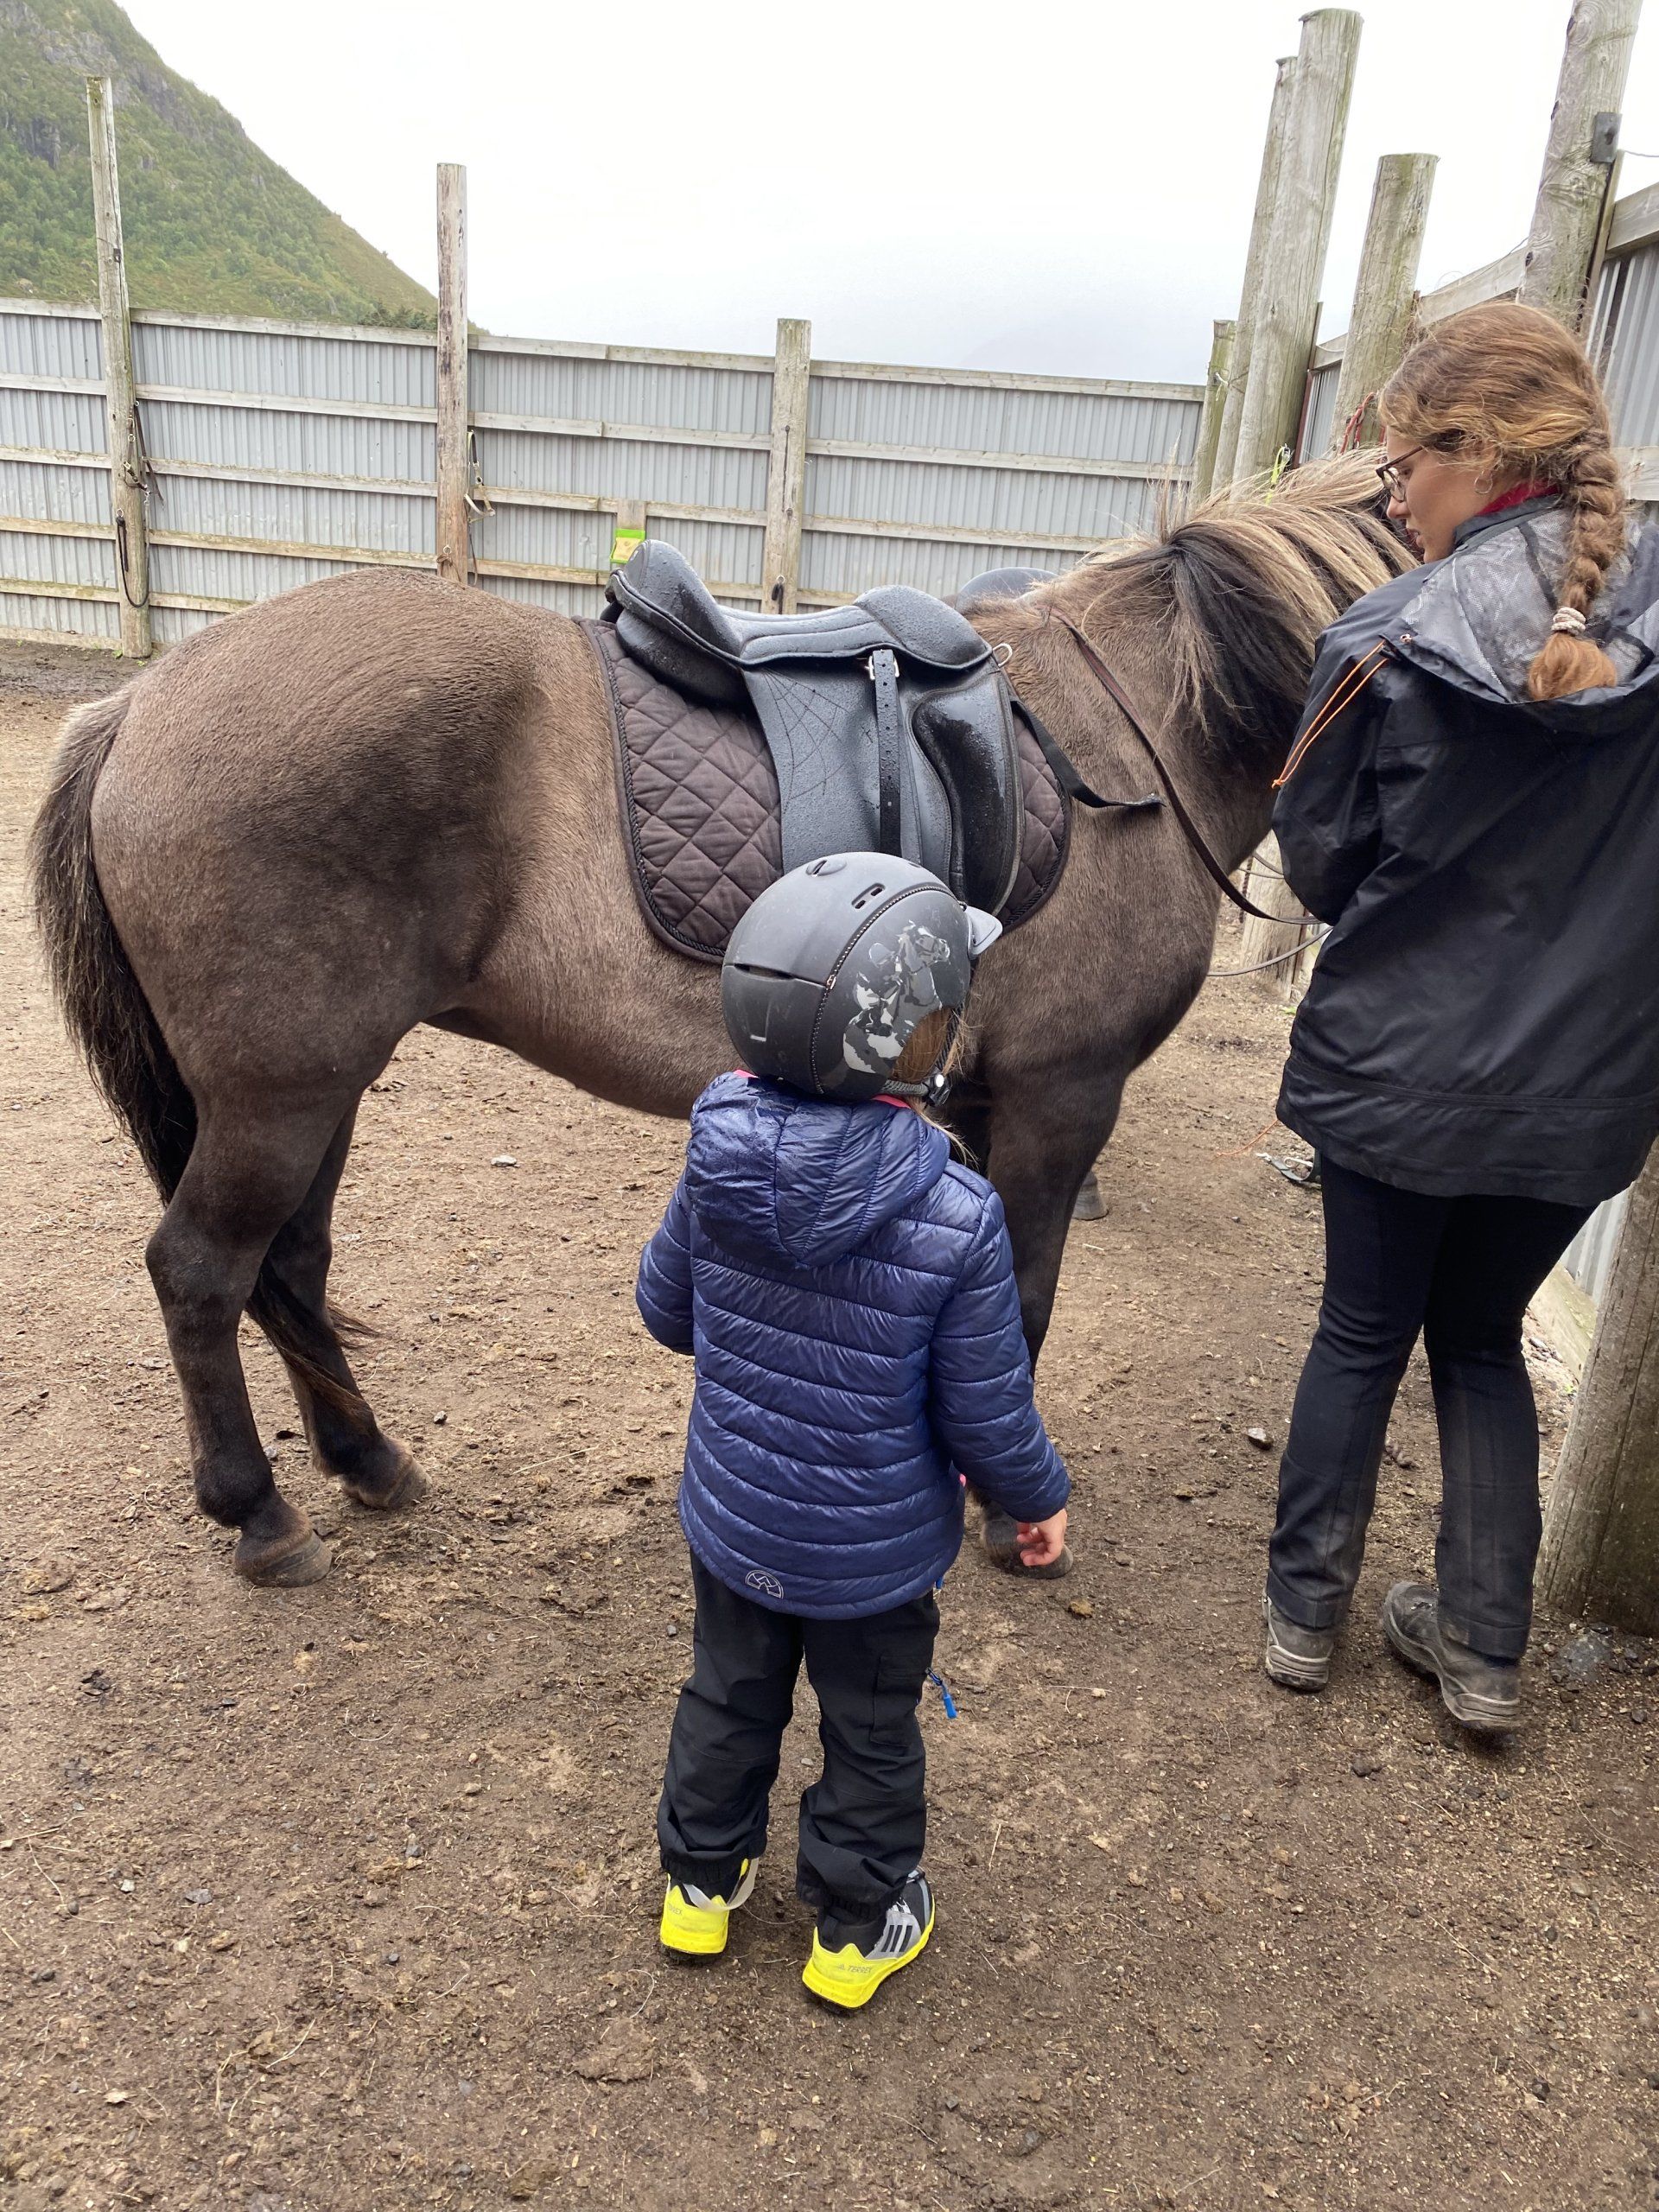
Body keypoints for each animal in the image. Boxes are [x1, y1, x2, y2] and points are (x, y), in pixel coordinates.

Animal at [28, 456, 1410, 1586]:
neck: (1136, 732)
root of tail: (141, 702)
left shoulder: (984, 1102)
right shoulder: (1062, 1101)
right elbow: (1022, 1305)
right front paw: (1004, 1520)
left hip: (317, 1088)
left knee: (295, 1269)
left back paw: (366, 1458)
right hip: (278, 1094)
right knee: (202, 1272)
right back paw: (257, 1512)